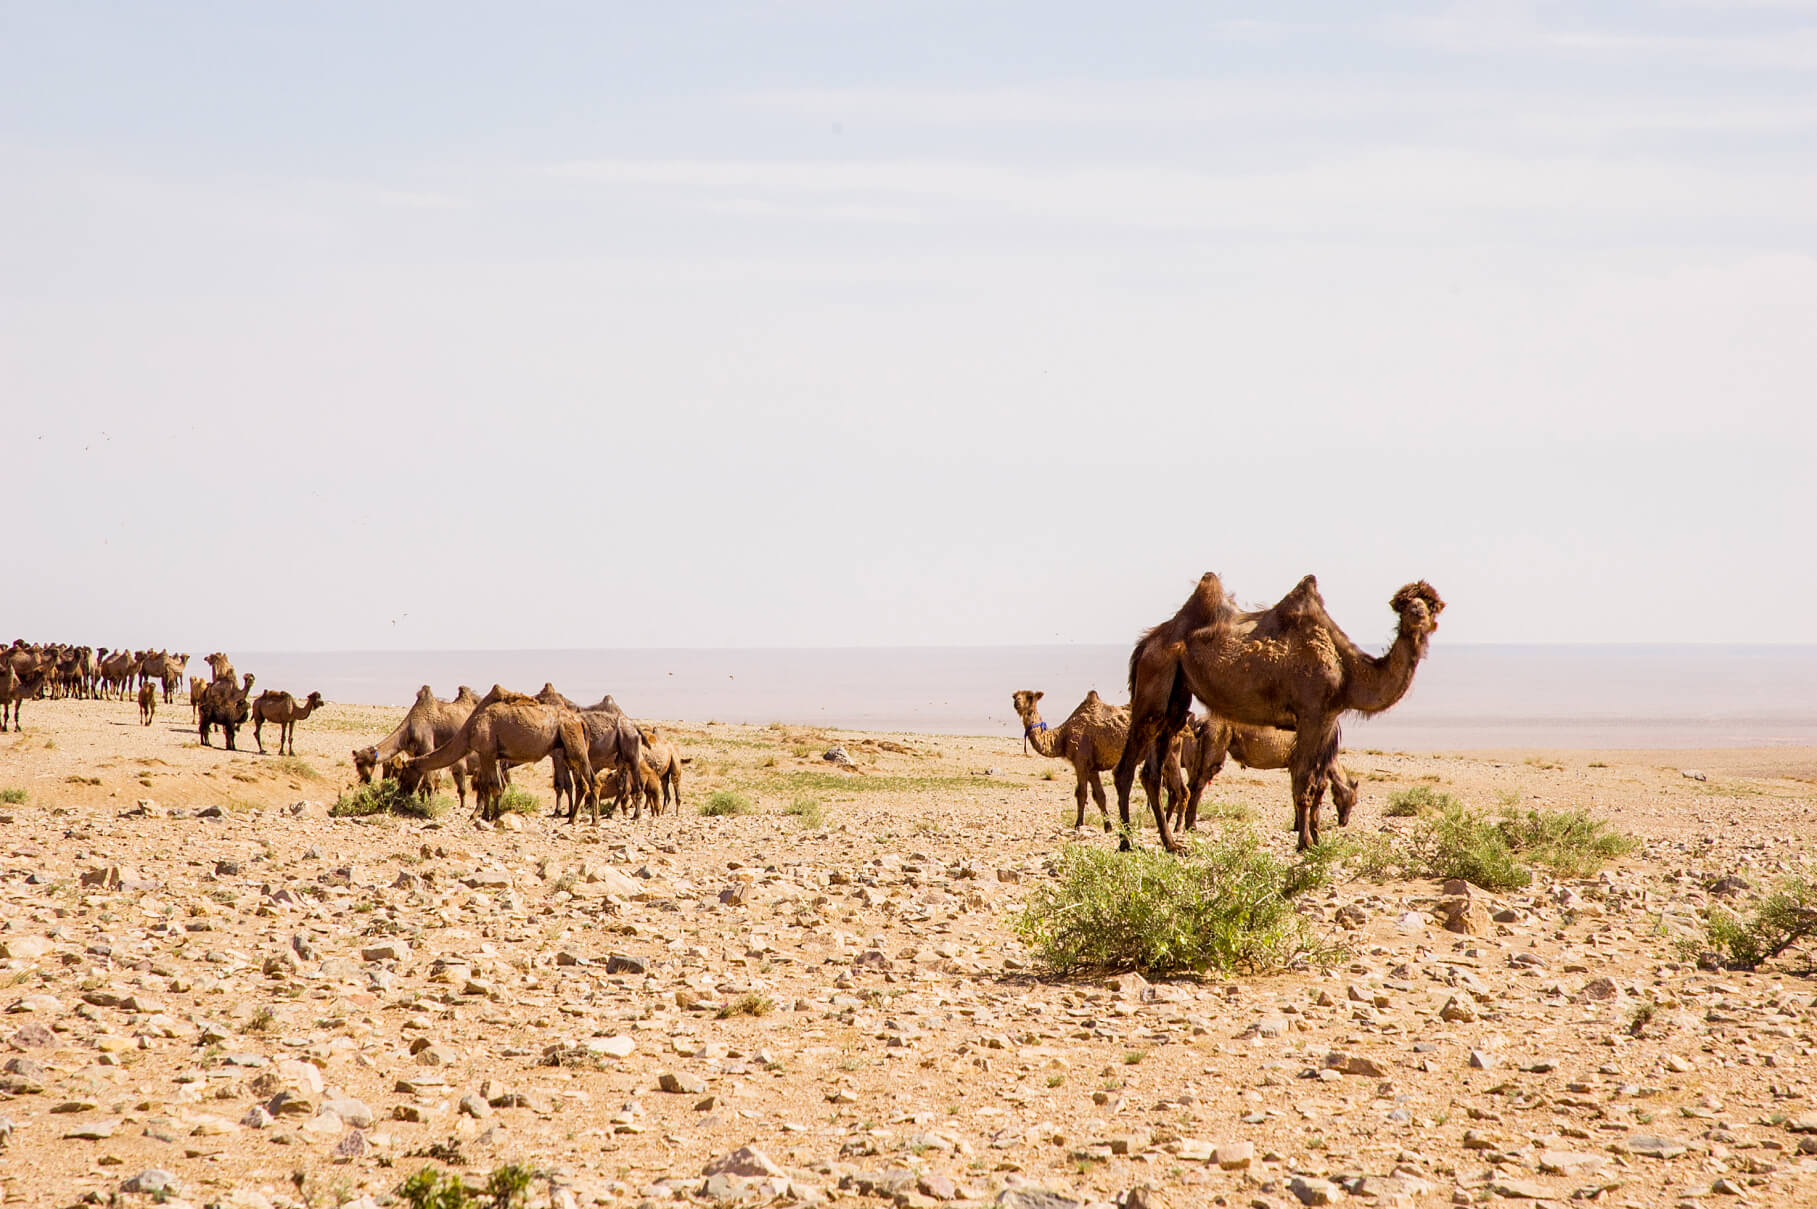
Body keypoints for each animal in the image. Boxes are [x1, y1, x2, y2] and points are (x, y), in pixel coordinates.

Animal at [1017, 687, 1184, 829]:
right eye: (1015, 695)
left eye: (1030, 697)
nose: (1017, 702)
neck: (1063, 736)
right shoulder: (1092, 768)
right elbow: (1099, 796)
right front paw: (1108, 827)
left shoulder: (1081, 762)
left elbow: (1081, 793)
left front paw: (1078, 824)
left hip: (1169, 752)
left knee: (1180, 790)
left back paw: (1177, 828)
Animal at [1104, 574, 1446, 847]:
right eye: (1405, 603)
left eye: (1430, 603)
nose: (1417, 612)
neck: (1348, 674)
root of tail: (1148, 641)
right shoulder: (1311, 714)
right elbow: (1304, 782)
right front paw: (1305, 843)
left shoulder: (1327, 720)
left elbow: (1317, 783)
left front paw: (1316, 840)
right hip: (1156, 677)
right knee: (1127, 768)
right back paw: (1127, 843)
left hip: (1176, 696)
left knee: (1152, 771)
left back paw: (1171, 844)